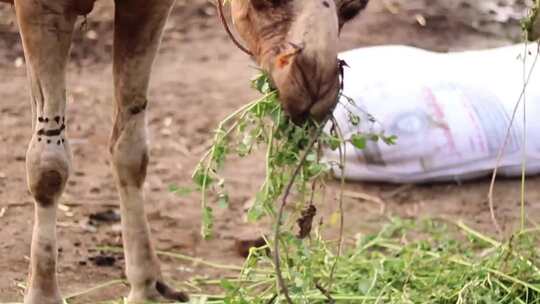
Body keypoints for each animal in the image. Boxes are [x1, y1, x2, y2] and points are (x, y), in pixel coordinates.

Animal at [0, 0, 368, 302]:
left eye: (353, 8)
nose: (315, 89)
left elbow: (130, 150)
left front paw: (146, 287)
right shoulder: (38, 6)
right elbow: (49, 165)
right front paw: (43, 294)